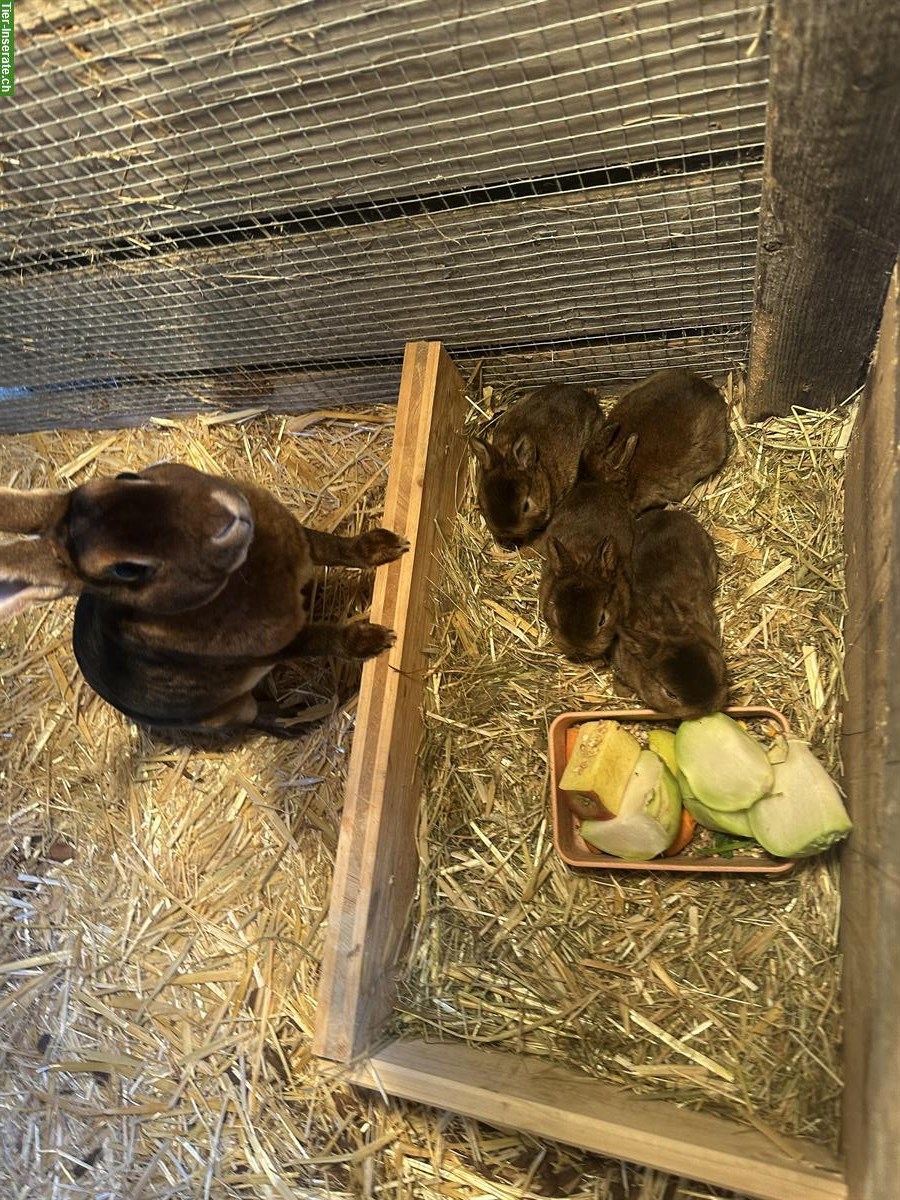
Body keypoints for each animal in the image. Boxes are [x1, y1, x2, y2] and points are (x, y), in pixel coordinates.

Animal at [0, 462, 408, 738]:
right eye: (126, 570)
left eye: (127, 478)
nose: (225, 514)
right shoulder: (278, 645)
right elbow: (323, 638)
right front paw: (372, 640)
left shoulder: (303, 545)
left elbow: (333, 547)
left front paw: (384, 546)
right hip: (228, 710)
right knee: (253, 718)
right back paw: (297, 717)